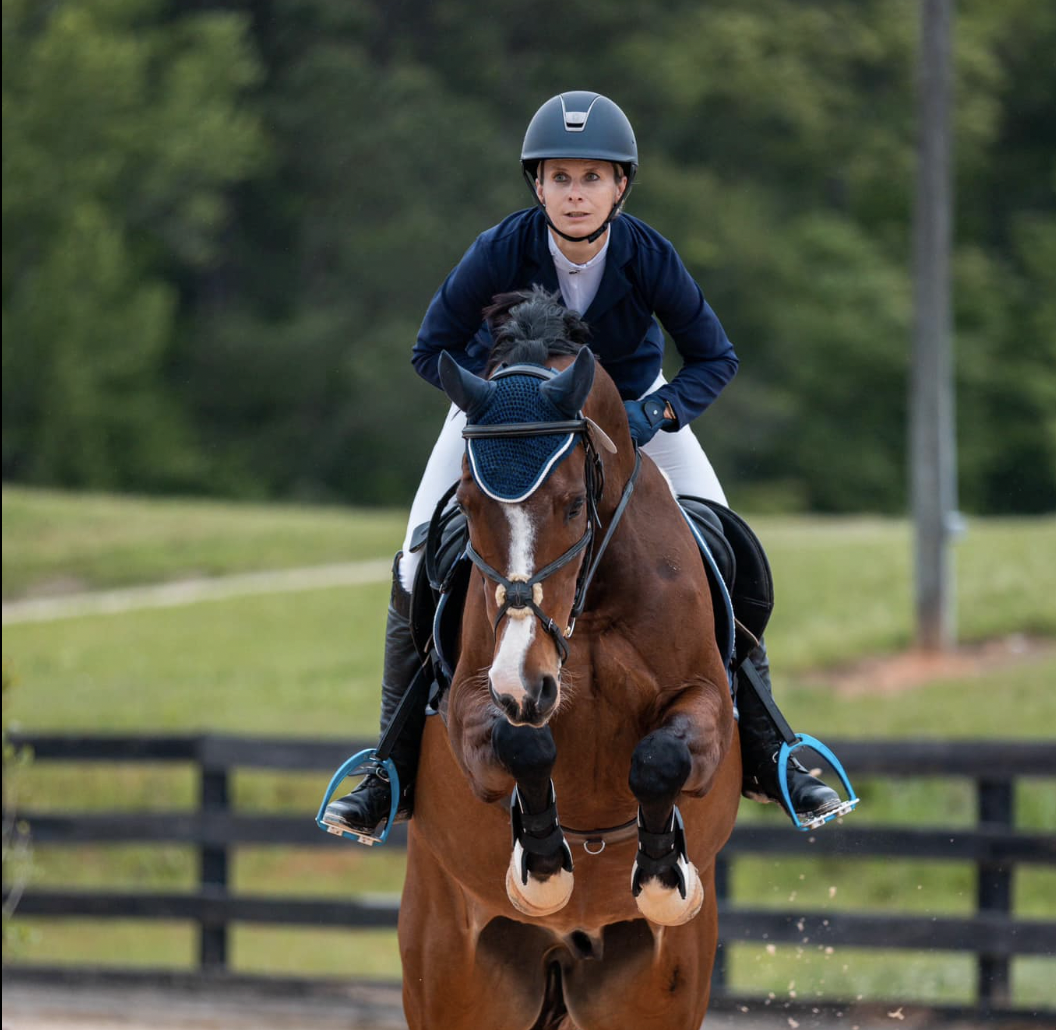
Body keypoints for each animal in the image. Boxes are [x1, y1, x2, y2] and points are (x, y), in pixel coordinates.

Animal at [399, 290, 741, 1030]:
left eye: (575, 504)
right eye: (467, 504)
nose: (525, 683)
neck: (592, 600)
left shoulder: (705, 700)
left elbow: (661, 758)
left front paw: (662, 875)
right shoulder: (471, 703)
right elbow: (523, 746)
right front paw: (545, 867)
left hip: (659, 987)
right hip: (449, 966)